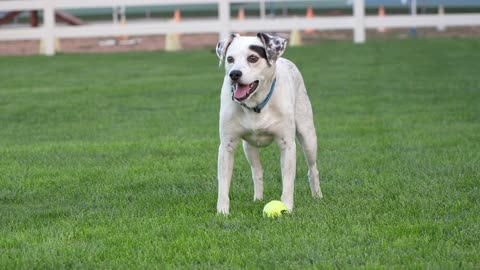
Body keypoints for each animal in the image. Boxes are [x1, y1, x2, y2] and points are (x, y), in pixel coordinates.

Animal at [217, 33, 322, 215]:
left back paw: (317, 196)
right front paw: (222, 211)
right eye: (230, 59)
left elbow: (288, 181)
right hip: (248, 147)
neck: (255, 106)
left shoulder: (287, 144)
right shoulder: (227, 145)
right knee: (257, 171)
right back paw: (258, 198)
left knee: (312, 168)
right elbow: (223, 183)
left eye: (253, 58)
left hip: (308, 135)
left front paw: (286, 207)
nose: (234, 74)